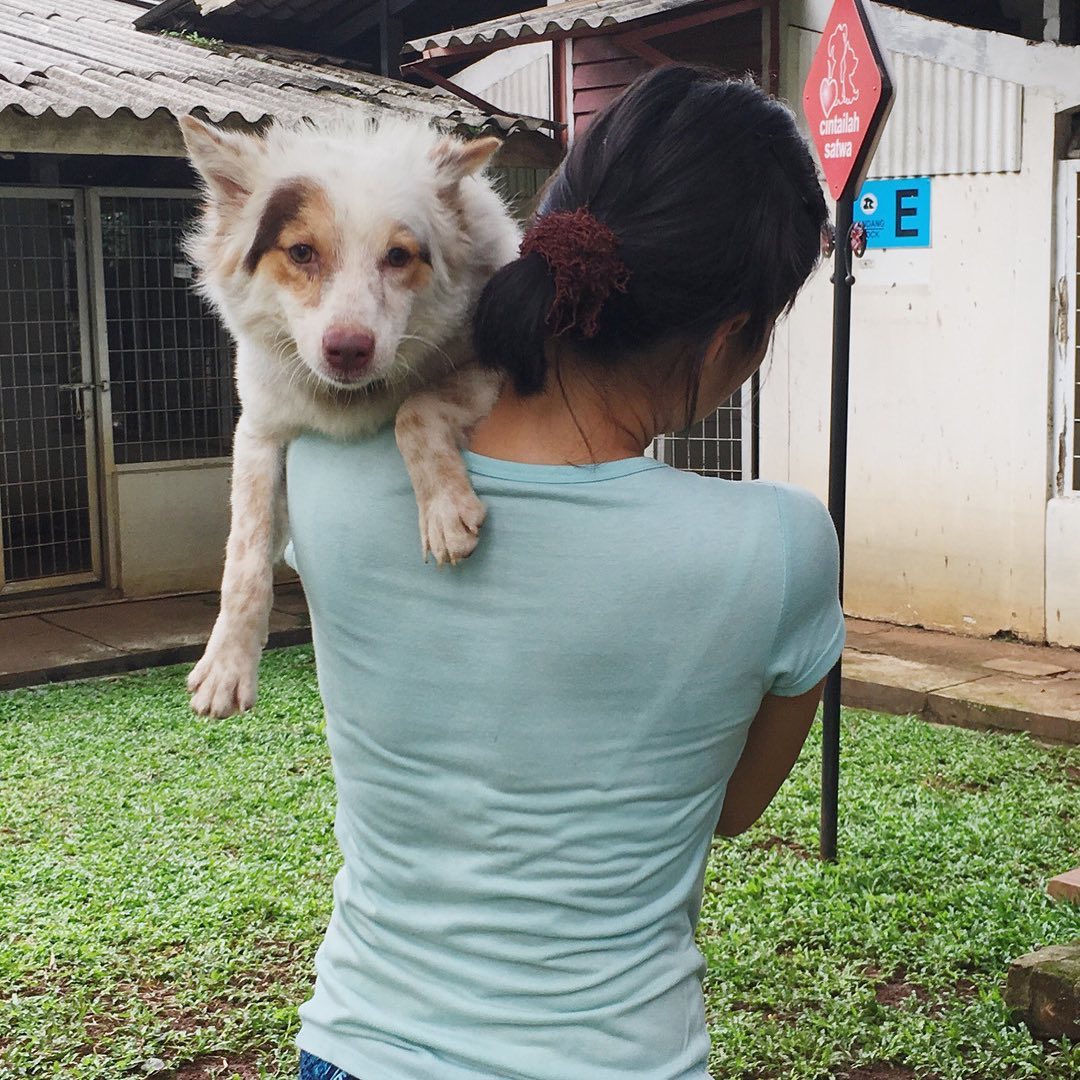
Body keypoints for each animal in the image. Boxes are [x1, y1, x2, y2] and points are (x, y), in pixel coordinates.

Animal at [179, 116, 520, 717]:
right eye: (301, 252)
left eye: (399, 257)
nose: (348, 351)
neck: (347, 399)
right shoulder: (260, 430)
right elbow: (245, 551)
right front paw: (226, 665)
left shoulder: (491, 367)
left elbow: (414, 409)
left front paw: (443, 511)